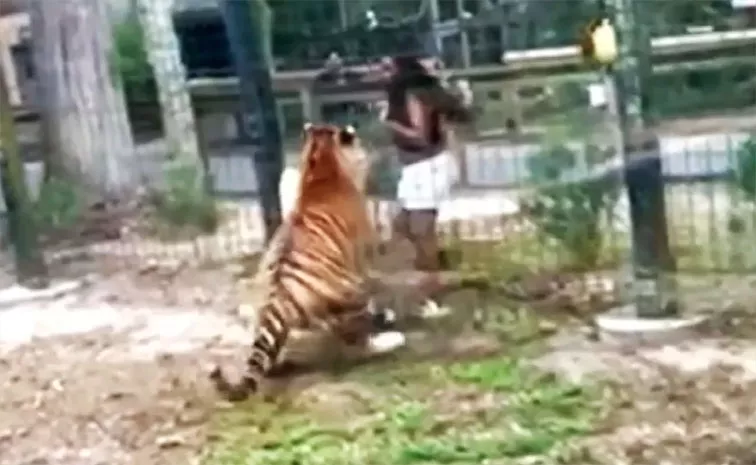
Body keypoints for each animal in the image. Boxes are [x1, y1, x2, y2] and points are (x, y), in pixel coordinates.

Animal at [210, 123, 404, 402]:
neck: (321, 168)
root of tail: (278, 297)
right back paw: (390, 339)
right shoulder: (362, 260)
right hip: (350, 293)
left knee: (266, 356)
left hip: (267, 318)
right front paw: (382, 314)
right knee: (357, 342)